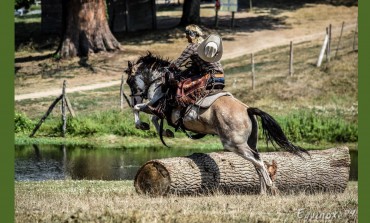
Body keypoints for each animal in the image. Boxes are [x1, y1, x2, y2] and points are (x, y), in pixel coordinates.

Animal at [125, 52, 310, 195]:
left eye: (130, 81)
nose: (135, 97)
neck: (160, 82)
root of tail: (247, 110)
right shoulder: (160, 111)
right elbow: (153, 118)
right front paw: (166, 132)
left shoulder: (155, 107)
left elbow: (139, 110)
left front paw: (142, 125)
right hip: (250, 142)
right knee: (259, 161)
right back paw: (263, 191)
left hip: (234, 144)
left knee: (258, 162)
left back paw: (271, 187)